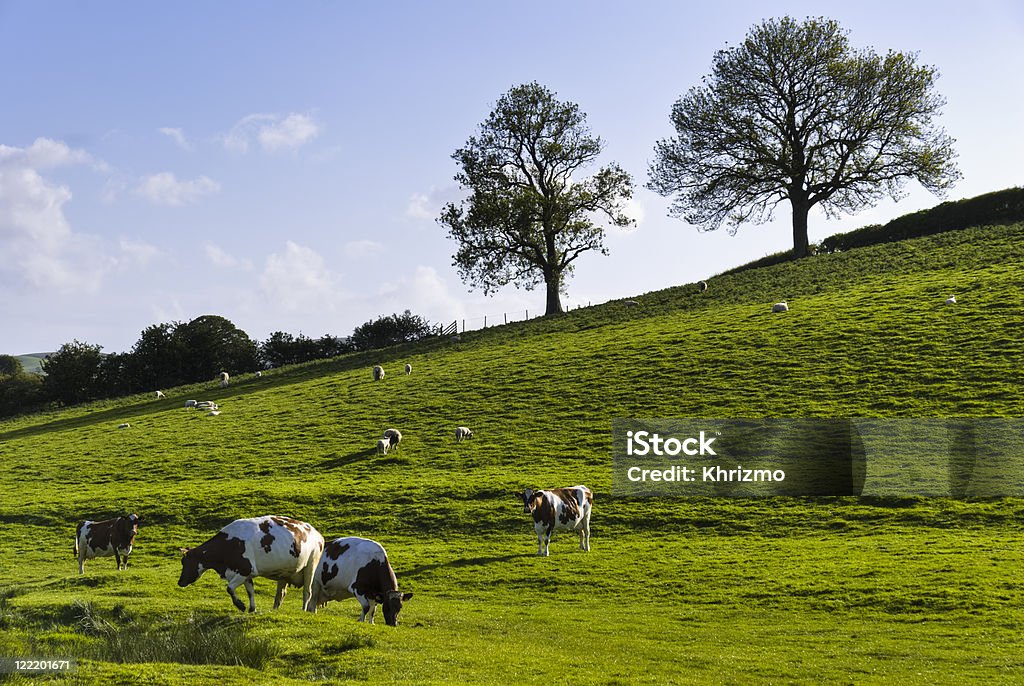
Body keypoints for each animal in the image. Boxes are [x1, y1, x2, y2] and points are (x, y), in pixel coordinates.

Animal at [177, 513, 323, 614]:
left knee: (307, 592)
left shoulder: (245, 569)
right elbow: (250, 592)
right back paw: (275, 609)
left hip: (311, 564)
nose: (180, 582)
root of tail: (316, 533)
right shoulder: (246, 573)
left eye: (186, 562)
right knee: (280, 594)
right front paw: (252, 609)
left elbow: (229, 588)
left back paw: (303, 610)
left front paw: (240, 605)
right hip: (285, 572)